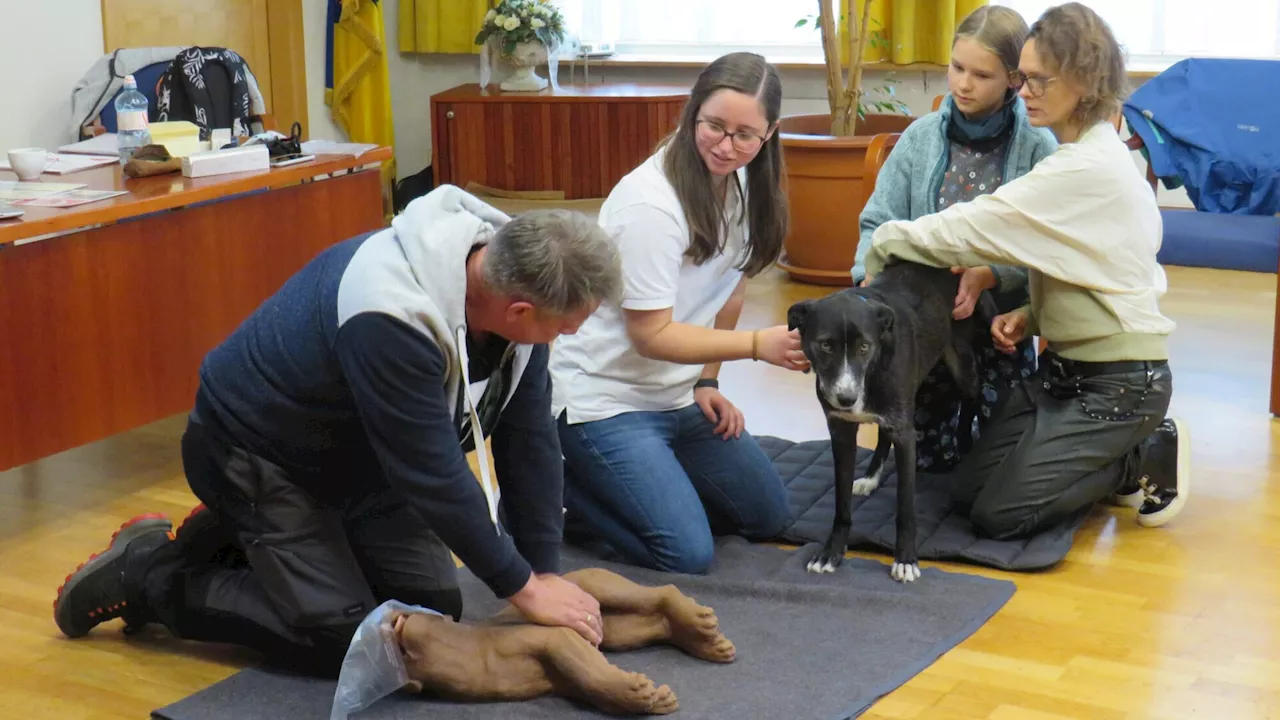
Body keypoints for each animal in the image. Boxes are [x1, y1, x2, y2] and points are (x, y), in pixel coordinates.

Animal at [778, 260, 998, 579]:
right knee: (884, 434)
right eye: (825, 345)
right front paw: (832, 552)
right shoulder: (842, 432)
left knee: (972, 393)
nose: (846, 399)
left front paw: (905, 560)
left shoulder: (906, 436)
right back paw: (871, 477)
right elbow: (841, 504)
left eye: (864, 347)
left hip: (960, 364)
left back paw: (965, 441)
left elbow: (905, 507)